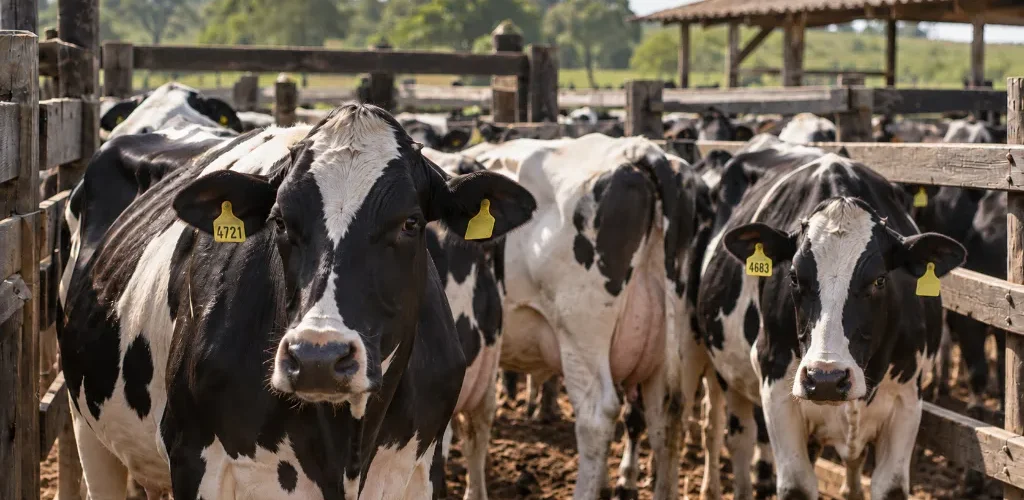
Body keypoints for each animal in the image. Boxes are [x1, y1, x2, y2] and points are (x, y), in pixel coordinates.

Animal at [59, 103, 537, 499]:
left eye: (411, 223)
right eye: (280, 221)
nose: (317, 357)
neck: (348, 443)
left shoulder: (421, 466)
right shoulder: (195, 457)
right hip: (88, 429)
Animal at [696, 152, 965, 500]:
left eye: (880, 280)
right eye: (794, 276)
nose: (825, 379)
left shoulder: (907, 399)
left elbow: (890, 486)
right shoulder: (777, 389)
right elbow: (796, 485)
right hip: (716, 364)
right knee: (729, 432)